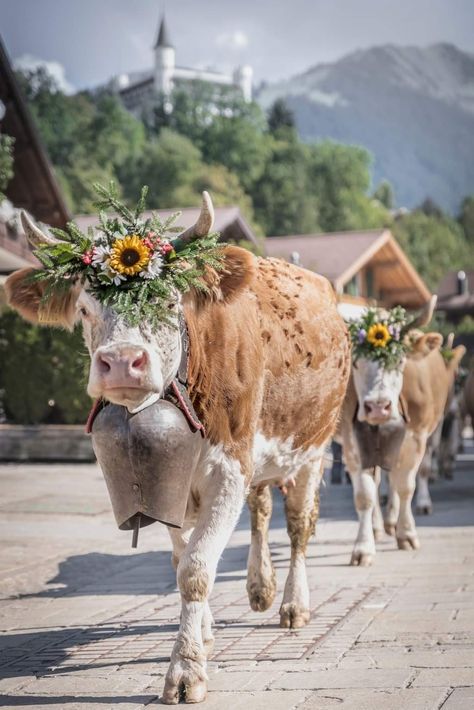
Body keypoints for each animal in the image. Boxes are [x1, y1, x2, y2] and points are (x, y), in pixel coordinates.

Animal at [4, 196, 352, 708]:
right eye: (84, 309)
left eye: (169, 302)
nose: (121, 361)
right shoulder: (164, 482)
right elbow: (179, 558)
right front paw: (201, 632)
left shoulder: (229, 469)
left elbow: (196, 568)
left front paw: (186, 668)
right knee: (261, 511)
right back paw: (260, 586)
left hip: (314, 448)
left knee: (298, 527)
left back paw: (293, 602)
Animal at [338, 304, 464, 572]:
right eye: (356, 363)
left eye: (400, 361)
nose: (377, 407)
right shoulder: (352, 441)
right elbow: (364, 495)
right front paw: (363, 548)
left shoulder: (418, 437)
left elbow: (407, 485)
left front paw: (406, 533)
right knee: (377, 484)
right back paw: (378, 526)